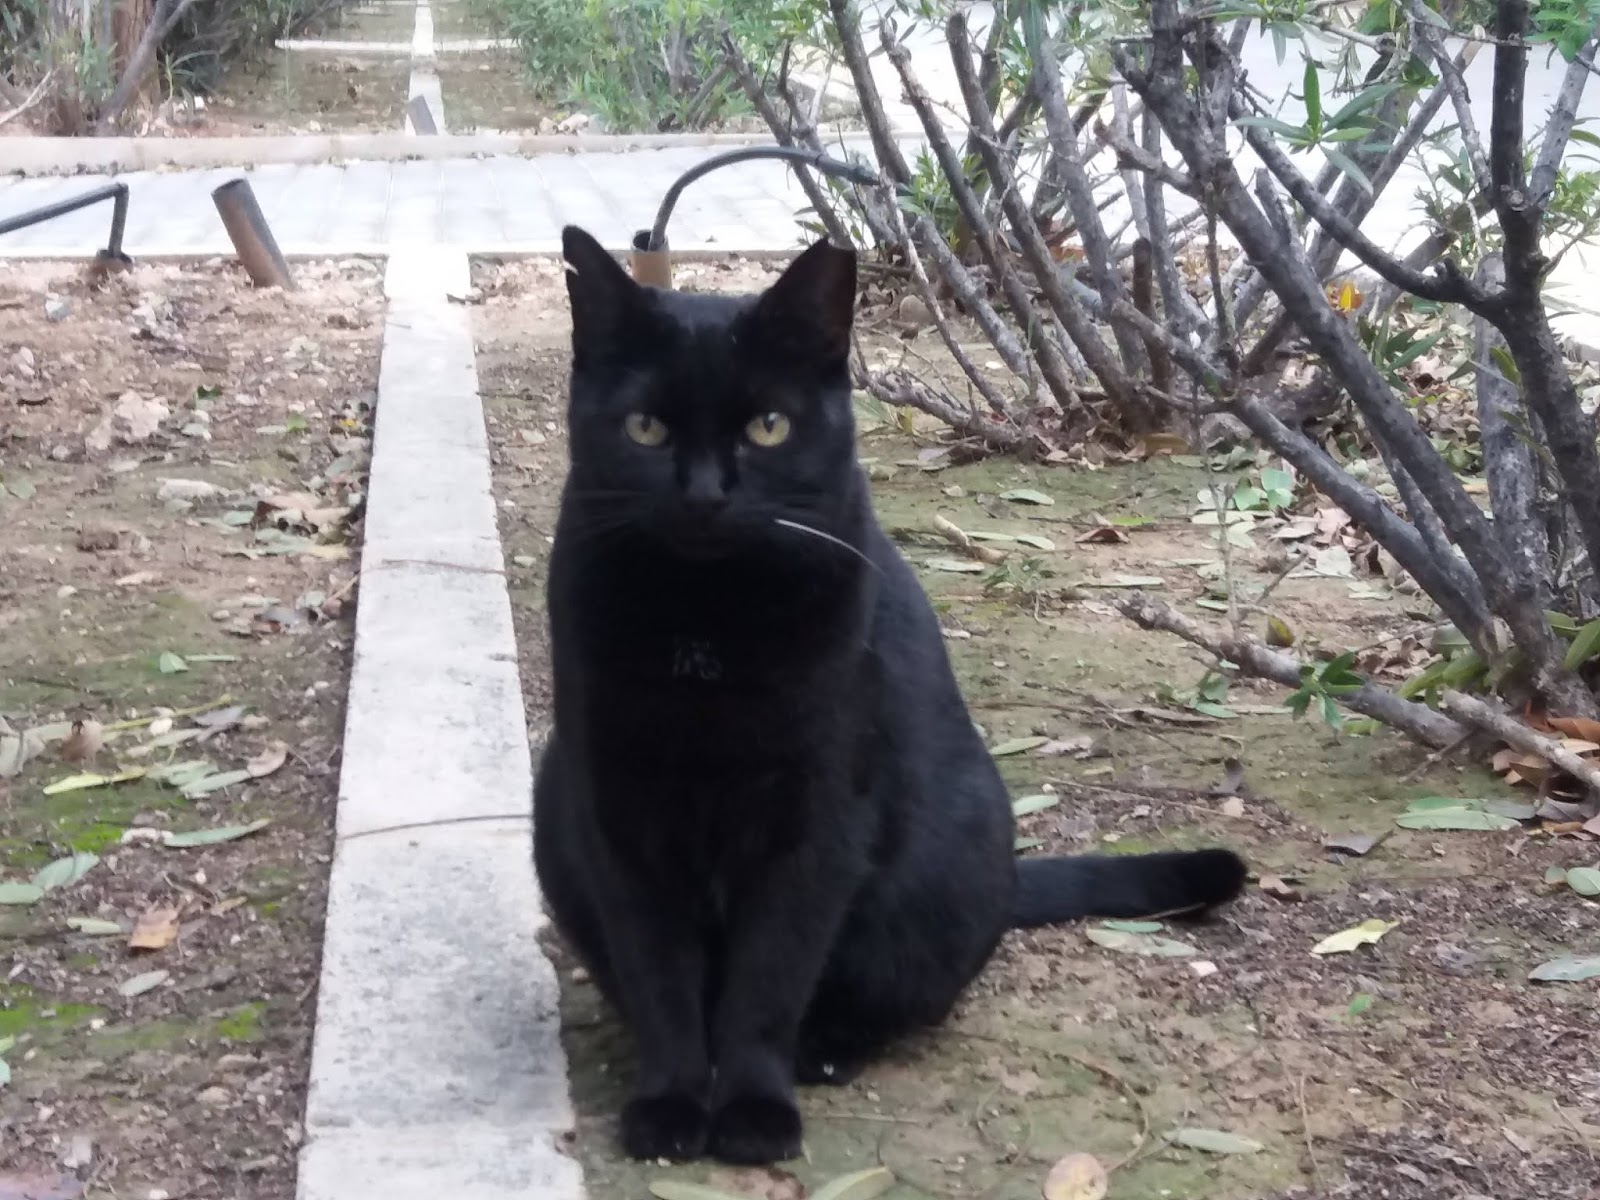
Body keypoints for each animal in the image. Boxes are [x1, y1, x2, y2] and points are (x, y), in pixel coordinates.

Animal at [533, 225, 1248, 1167]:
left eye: (768, 427)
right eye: (645, 429)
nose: (706, 496)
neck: (706, 629)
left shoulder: (820, 816)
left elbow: (769, 978)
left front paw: (753, 1111)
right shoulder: (617, 810)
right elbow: (660, 976)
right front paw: (672, 1104)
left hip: (946, 856)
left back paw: (825, 1050)